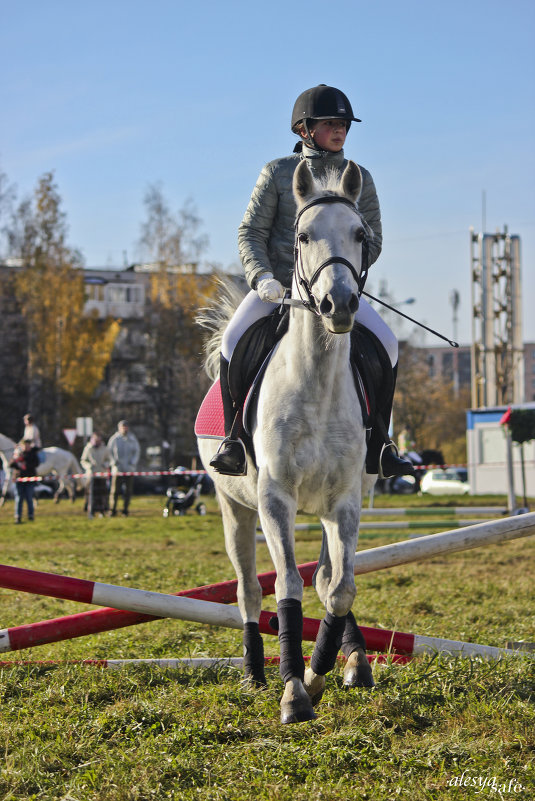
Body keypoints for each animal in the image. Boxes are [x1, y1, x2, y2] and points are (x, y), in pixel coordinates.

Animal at [199, 159, 378, 720]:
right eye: (303, 235)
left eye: (360, 234)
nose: (339, 303)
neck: (316, 384)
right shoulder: (275, 499)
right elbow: (287, 587)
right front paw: (293, 691)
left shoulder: (344, 501)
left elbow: (339, 589)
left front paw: (319, 675)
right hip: (235, 508)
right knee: (248, 592)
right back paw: (255, 673)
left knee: (325, 578)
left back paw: (354, 662)